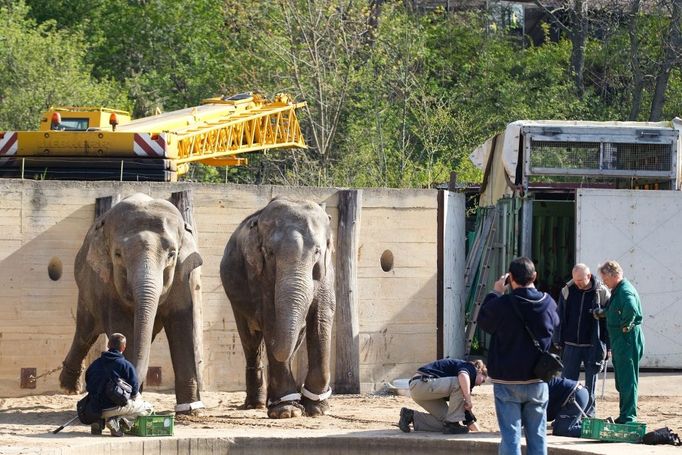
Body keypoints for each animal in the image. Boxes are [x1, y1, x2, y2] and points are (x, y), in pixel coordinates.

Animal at [59, 194, 203, 416]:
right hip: (86, 288)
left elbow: (181, 324)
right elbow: (124, 327)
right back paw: (67, 387)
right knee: (85, 332)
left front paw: (190, 410)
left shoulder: (182, 277)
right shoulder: (108, 285)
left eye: (172, 254)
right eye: (118, 254)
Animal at [220, 198, 334, 418]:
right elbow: (270, 317)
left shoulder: (327, 270)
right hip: (236, 301)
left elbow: (321, 317)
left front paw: (317, 408)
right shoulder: (259, 276)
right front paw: (287, 412)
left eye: (317, 252)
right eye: (270, 253)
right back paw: (257, 404)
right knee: (251, 340)